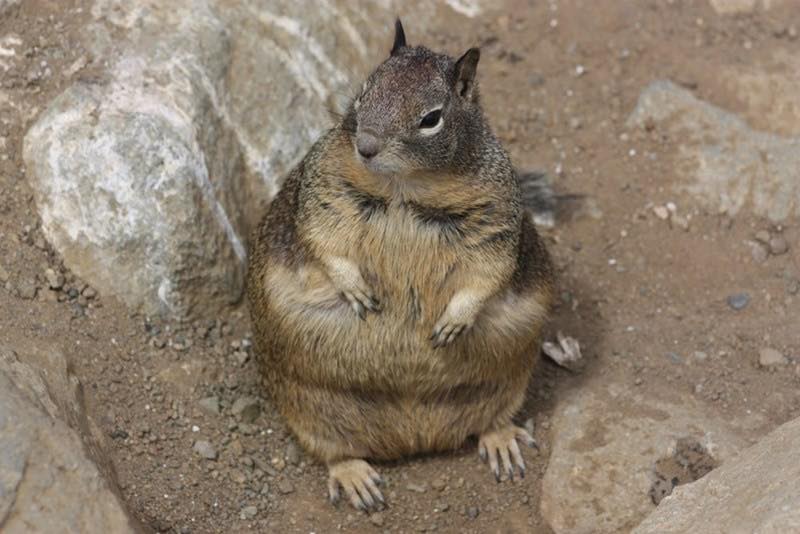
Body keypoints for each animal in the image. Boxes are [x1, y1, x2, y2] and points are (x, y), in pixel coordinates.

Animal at [247, 19, 555, 511]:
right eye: (362, 92)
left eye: (431, 118)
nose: (366, 146)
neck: (404, 186)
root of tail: (413, 439)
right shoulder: (323, 186)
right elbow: (321, 239)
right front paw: (355, 289)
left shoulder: (497, 215)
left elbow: (489, 272)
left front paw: (453, 322)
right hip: (307, 407)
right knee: (333, 452)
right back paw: (356, 478)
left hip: (509, 384)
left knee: (491, 420)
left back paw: (501, 442)